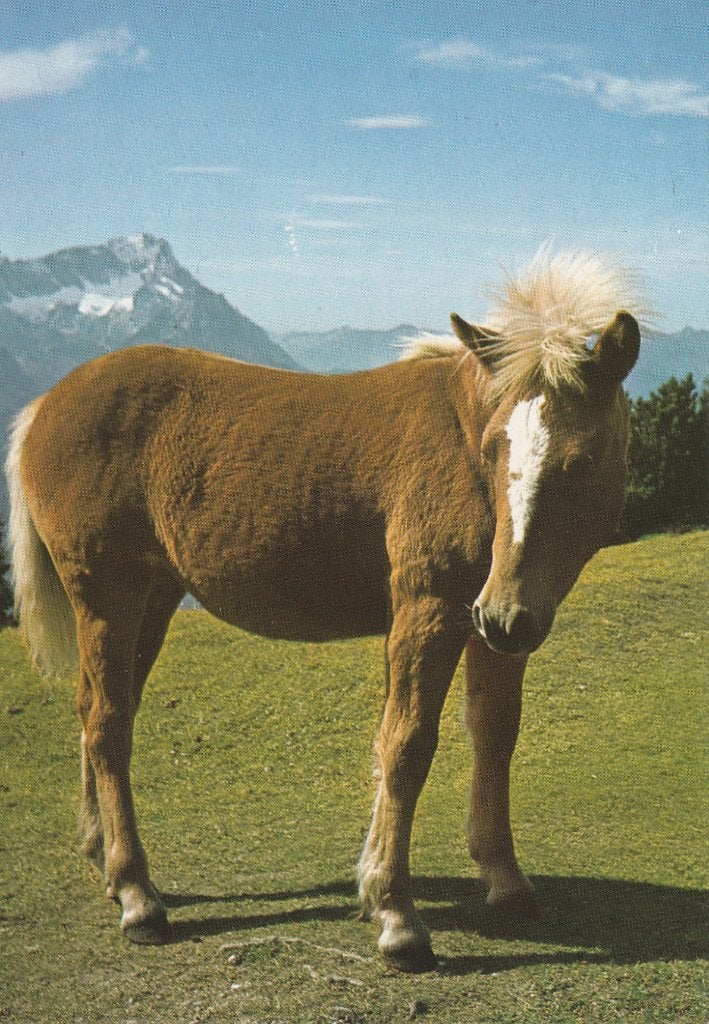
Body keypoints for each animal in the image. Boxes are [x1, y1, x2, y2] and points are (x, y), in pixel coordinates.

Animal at [5, 247, 641, 972]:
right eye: (490, 448)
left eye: (581, 461)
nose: (506, 615)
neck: (458, 429)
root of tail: (46, 404)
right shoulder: (428, 611)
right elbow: (405, 745)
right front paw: (394, 914)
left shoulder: (489, 631)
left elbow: (493, 735)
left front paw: (502, 880)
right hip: (108, 598)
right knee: (109, 726)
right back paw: (138, 896)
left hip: (151, 602)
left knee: (95, 709)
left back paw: (104, 859)